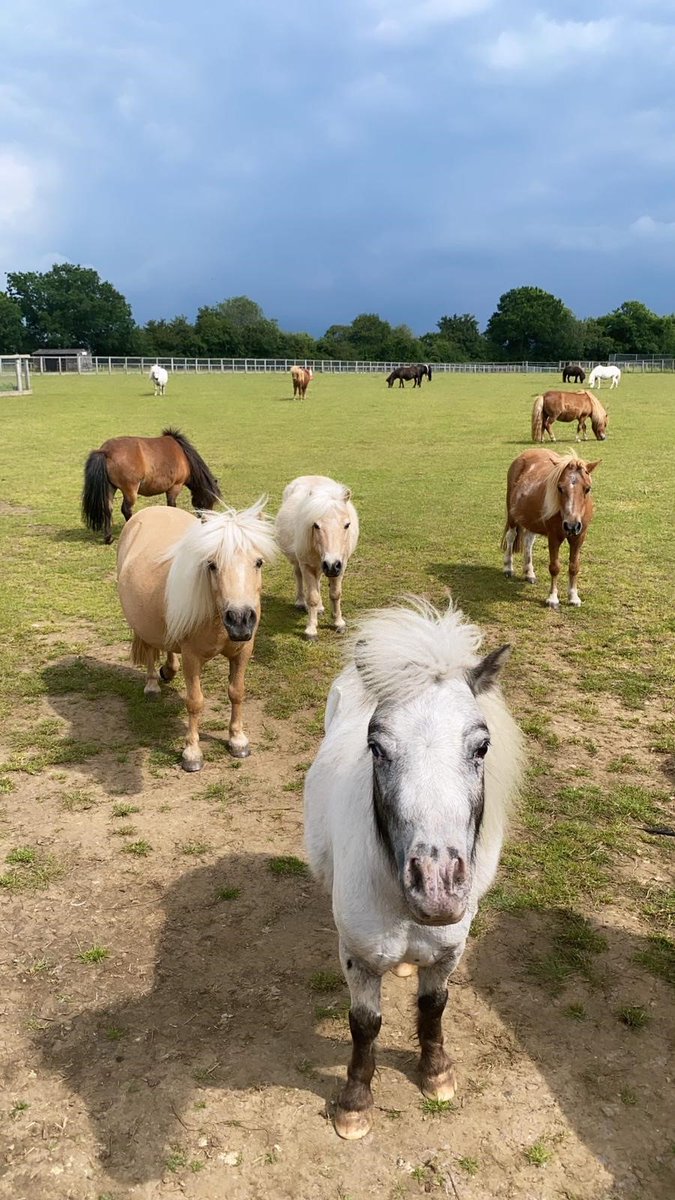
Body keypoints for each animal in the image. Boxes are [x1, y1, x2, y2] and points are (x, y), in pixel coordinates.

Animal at [79, 429, 219, 547]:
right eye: (208, 501)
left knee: (108, 509)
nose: (206, 523)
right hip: (130, 489)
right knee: (126, 510)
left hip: (110, 488)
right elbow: (172, 506)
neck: (184, 456)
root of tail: (106, 451)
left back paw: (109, 538)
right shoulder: (175, 487)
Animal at [116, 496, 276, 768]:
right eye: (211, 565)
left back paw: (168, 670)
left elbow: (237, 692)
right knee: (150, 651)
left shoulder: (243, 651)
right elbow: (195, 702)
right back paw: (152, 685)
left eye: (258, 562)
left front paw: (238, 740)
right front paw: (192, 753)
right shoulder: (192, 658)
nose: (240, 620)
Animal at [302, 595, 523, 1137]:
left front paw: (436, 1074)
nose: (437, 886)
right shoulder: (358, 957)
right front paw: (355, 1103)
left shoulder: (449, 952)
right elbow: (364, 1025)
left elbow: (433, 1006)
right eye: (376, 746)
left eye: (482, 745)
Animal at [499, 448, 598, 609]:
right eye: (560, 488)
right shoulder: (554, 537)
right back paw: (508, 568)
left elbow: (574, 567)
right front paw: (552, 598)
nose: (571, 526)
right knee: (511, 537)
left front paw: (573, 597)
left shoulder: (579, 537)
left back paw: (529, 573)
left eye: (587, 488)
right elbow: (554, 567)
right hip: (512, 515)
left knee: (528, 542)